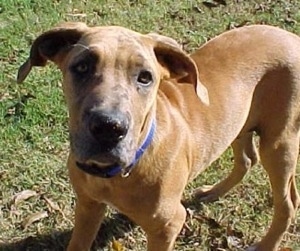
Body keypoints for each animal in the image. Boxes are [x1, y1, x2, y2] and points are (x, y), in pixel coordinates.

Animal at [17, 22, 298, 250]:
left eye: (145, 78)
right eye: (82, 66)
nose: (109, 127)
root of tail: (291, 37)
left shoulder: (167, 226)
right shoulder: (88, 205)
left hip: (279, 143)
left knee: (287, 204)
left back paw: (266, 244)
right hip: (239, 123)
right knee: (247, 159)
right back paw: (213, 192)